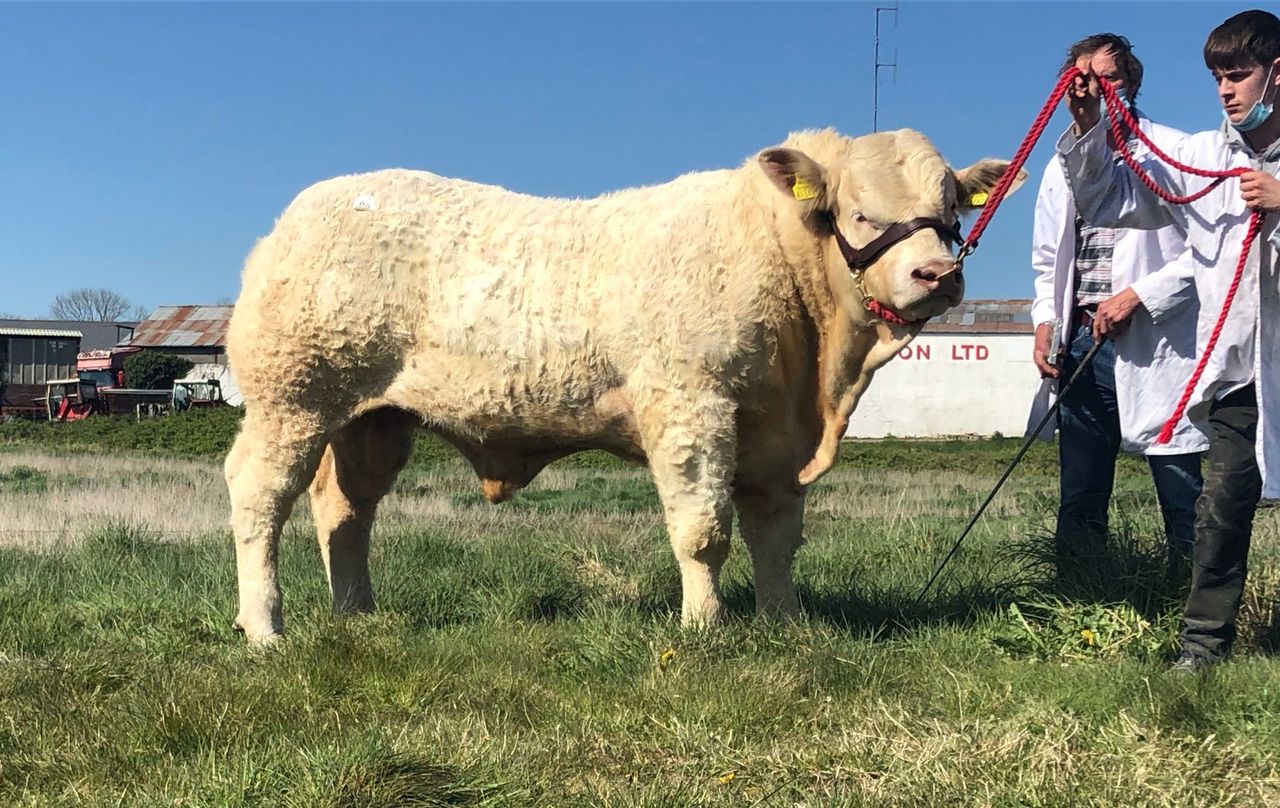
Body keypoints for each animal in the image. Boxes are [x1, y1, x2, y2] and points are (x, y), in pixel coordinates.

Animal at [224, 128, 1025, 643]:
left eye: (950, 212)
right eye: (861, 212)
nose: (938, 274)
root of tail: (293, 217)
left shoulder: (774, 433)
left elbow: (776, 536)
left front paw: (787, 622)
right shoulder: (690, 404)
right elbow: (703, 530)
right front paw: (705, 629)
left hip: (372, 417)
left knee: (344, 508)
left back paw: (357, 614)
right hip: (292, 396)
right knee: (260, 496)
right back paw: (266, 627)